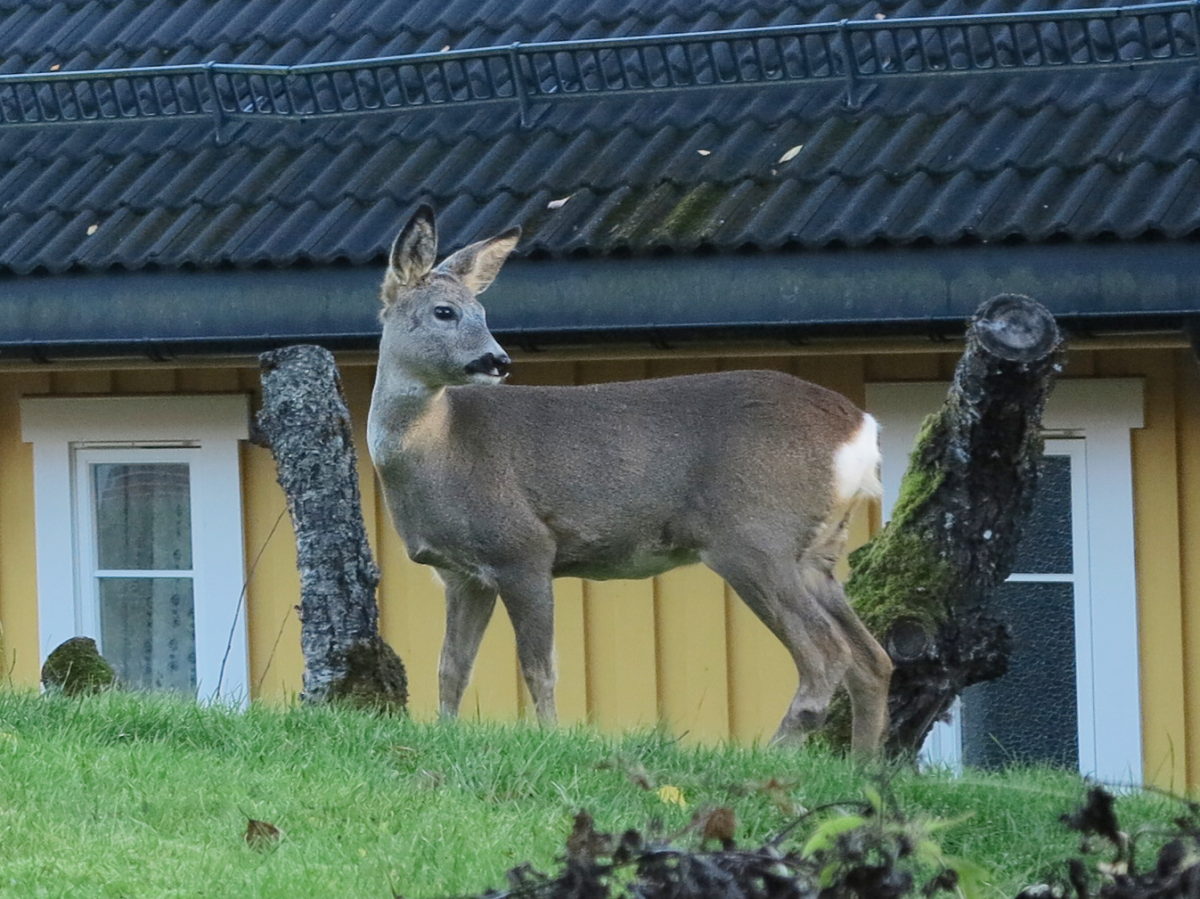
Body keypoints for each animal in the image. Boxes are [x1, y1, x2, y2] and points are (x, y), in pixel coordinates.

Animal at [367, 206, 894, 755]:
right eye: (445, 311)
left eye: (484, 314)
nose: (498, 361)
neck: (441, 451)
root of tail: (861, 429)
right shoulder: (462, 574)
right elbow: (451, 668)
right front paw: (444, 735)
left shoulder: (523, 547)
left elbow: (539, 667)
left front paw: (551, 740)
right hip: (817, 553)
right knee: (873, 659)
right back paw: (863, 765)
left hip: (755, 538)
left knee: (828, 654)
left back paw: (777, 753)